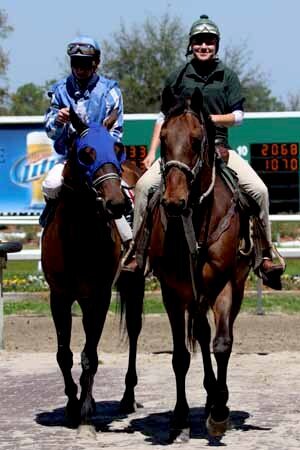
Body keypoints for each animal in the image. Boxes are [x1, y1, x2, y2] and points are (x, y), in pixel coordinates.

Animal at [41, 108, 144, 426]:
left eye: (117, 148)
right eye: (86, 153)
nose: (117, 203)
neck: (78, 237)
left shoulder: (100, 295)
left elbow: (91, 355)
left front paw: (85, 407)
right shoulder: (60, 296)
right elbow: (64, 354)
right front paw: (72, 405)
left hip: (133, 282)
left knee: (133, 330)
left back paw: (127, 397)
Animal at [146, 88, 252, 440]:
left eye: (195, 140)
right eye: (164, 139)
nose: (173, 202)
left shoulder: (225, 284)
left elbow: (222, 344)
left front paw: (219, 412)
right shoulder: (173, 291)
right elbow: (181, 355)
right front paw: (179, 418)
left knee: (214, 337)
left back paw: (217, 399)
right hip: (195, 295)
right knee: (201, 336)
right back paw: (207, 398)